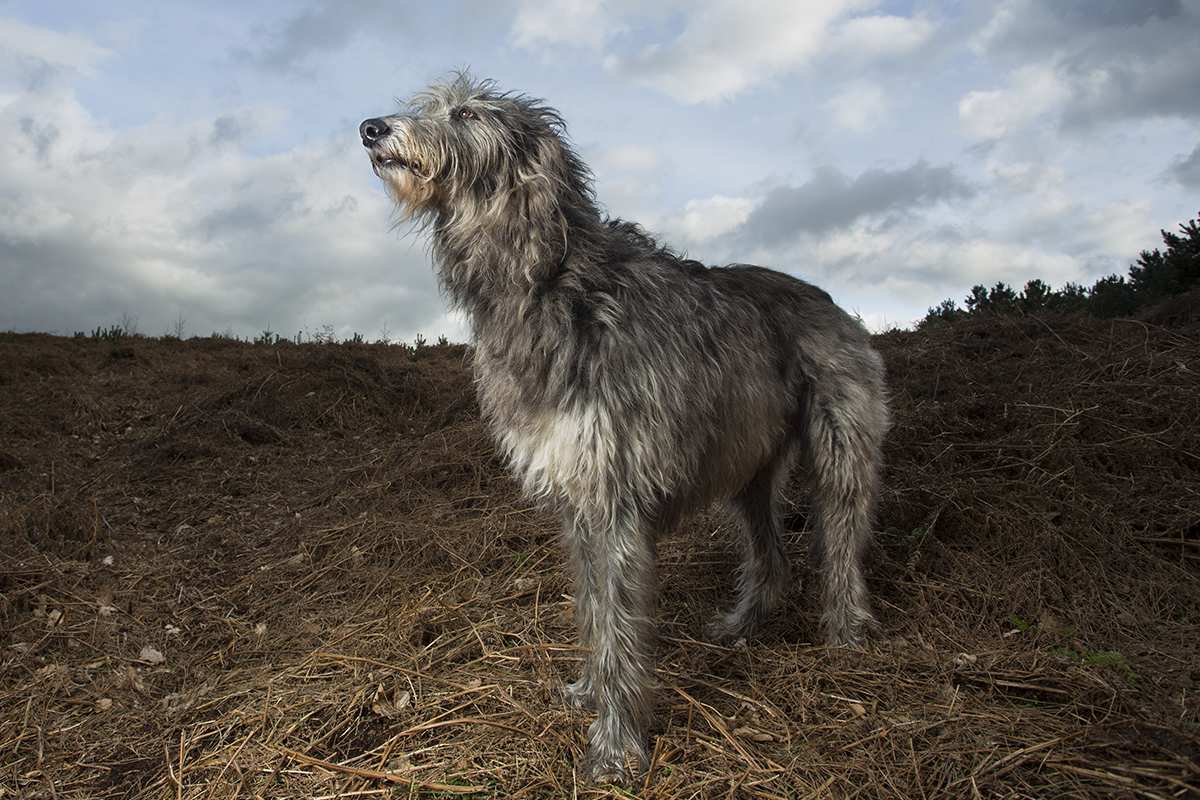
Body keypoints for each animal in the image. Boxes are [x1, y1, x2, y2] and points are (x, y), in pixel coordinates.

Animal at [360, 73, 888, 782]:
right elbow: (591, 609)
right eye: (429, 107)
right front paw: (589, 692)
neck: (548, 280)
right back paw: (743, 624)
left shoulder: (613, 496)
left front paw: (615, 745)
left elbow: (617, 625)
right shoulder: (577, 497)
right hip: (747, 461)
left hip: (841, 445)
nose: (370, 128)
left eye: (467, 115)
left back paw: (846, 632)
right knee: (771, 553)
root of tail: (826, 298)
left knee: (841, 539)